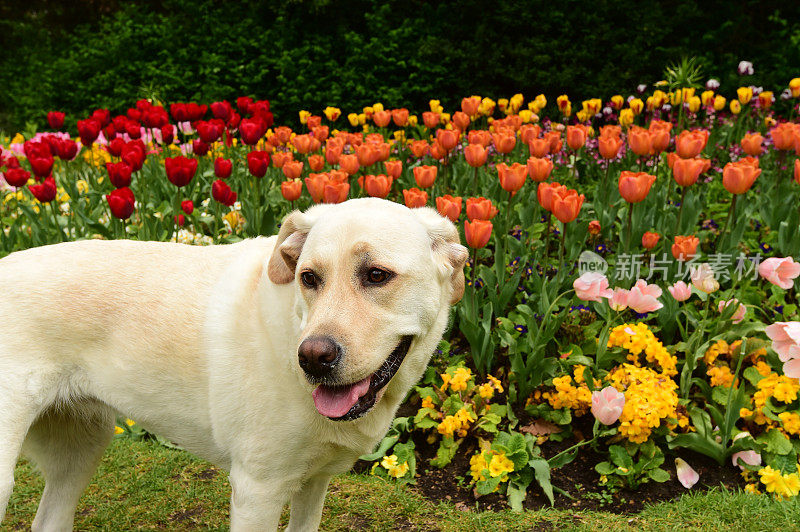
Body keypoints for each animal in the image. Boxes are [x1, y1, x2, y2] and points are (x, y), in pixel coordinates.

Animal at [0, 197, 468, 528]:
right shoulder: (256, 491)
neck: (292, 327)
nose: (312, 359)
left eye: (376, 275)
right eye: (309, 278)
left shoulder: (313, 482)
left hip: (81, 450)